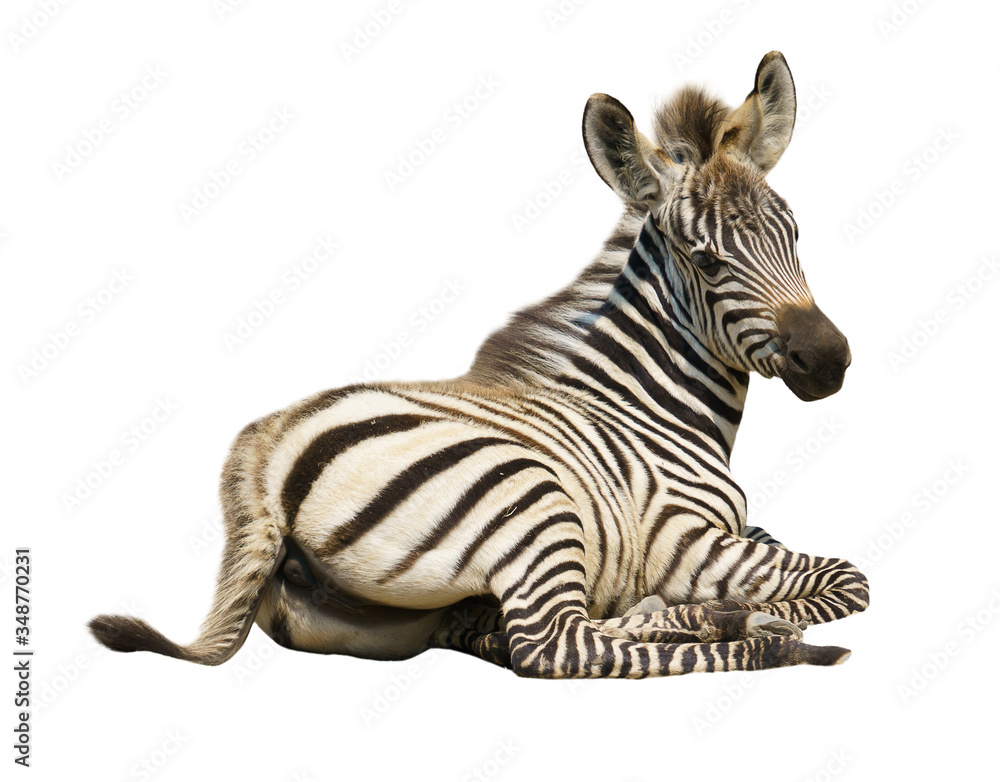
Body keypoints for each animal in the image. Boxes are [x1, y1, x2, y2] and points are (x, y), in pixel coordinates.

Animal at [91, 51, 869, 678]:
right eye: (707, 263)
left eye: (795, 234)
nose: (830, 359)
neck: (648, 405)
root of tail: (262, 455)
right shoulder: (685, 541)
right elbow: (847, 579)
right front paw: (763, 612)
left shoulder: (739, 529)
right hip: (531, 498)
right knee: (555, 645)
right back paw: (760, 635)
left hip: (382, 622)